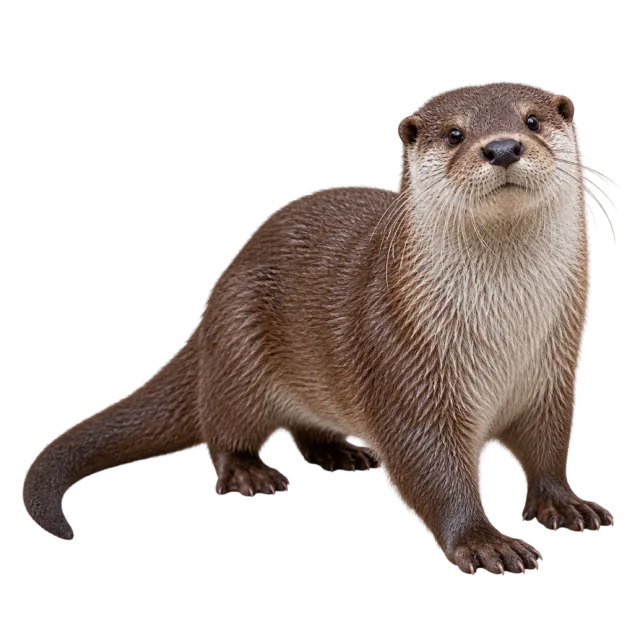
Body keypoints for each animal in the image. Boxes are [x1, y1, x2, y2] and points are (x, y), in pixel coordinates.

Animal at [22, 81, 615, 574]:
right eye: (455, 133)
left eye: (532, 120)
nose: (503, 147)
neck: (503, 336)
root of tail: (218, 292)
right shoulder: (406, 371)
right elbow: (431, 466)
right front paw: (482, 541)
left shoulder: (553, 373)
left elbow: (547, 447)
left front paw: (565, 503)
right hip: (239, 348)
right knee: (222, 427)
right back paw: (251, 472)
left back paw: (336, 453)